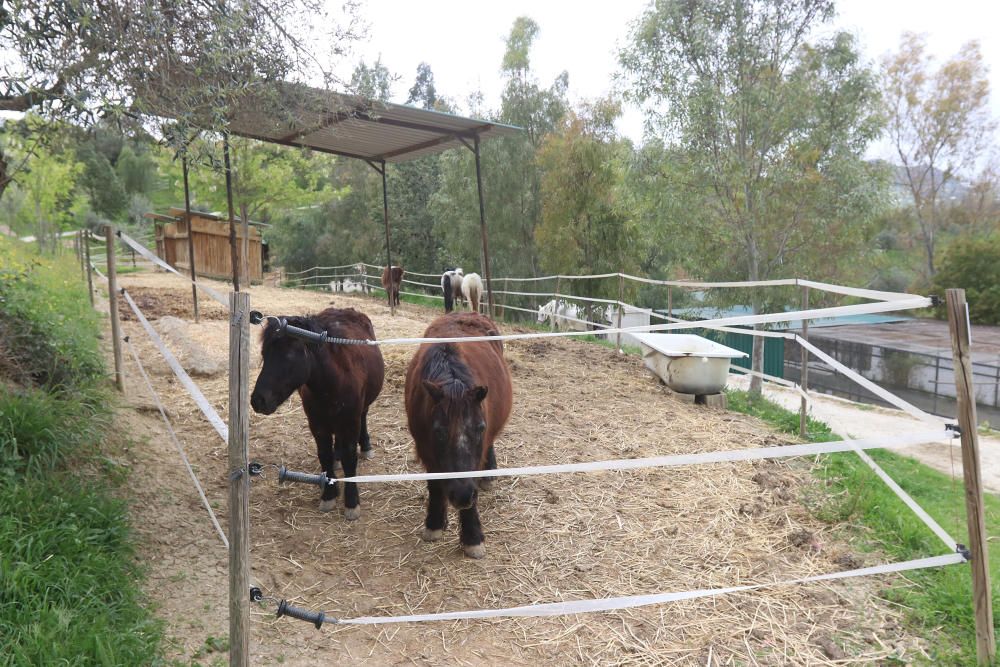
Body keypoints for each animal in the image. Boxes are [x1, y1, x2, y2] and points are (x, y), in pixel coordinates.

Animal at [252, 308, 384, 520]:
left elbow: (350, 459)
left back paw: (365, 447)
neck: (334, 382)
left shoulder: (350, 422)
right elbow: (325, 455)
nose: (258, 400)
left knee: (364, 417)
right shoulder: (317, 424)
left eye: (289, 356)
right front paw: (329, 494)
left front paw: (351, 502)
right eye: (265, 353)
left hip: (359, 412)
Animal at [406, 312, 516, 560]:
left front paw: (472, 537)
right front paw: (435, 524)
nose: (462, 496)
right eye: (438, 431)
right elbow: (435, 485)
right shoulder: (426, 449)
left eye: (481, 427)